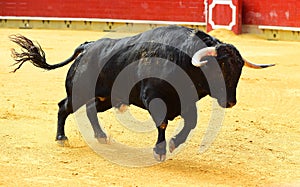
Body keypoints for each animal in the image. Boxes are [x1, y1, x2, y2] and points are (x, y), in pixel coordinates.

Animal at [9, 25, 274, 161]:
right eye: (218, 68)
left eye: (238, 70)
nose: (230, 102)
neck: (184, 59)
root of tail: (88, 46)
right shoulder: (153, 97)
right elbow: (163, 123)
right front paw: (160, 150)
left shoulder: (186, 103)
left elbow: (191, 123)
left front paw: (174, 144)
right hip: (79, 91)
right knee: (64, 107)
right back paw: (61, 138)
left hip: (106, 98)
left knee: (91, 110)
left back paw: (101, 136)